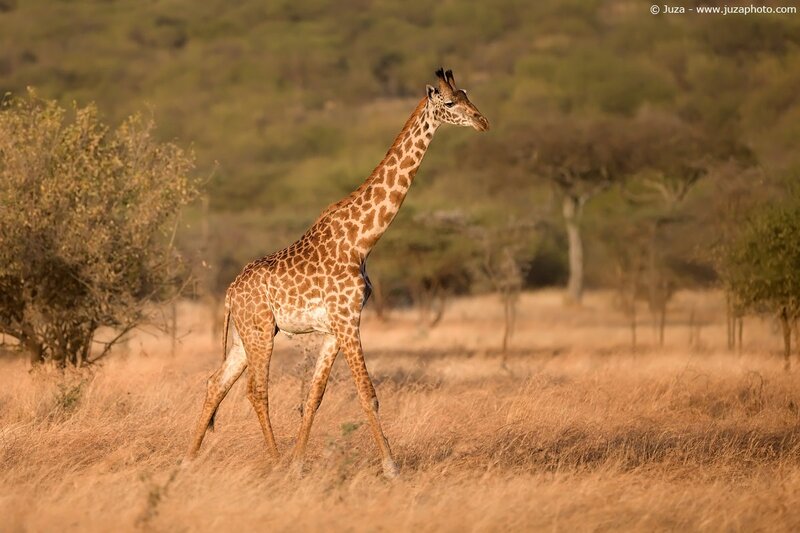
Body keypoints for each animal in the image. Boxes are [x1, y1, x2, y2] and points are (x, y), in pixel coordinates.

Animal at [185, 68, 489, 478]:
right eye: (451, 103)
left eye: (468, 95)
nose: (483, 122)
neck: (363, 240)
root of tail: (230, 293)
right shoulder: (348, 320)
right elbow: (368, 394)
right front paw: (391, 468)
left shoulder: (334, 328)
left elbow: (314, 396)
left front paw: (299, 464)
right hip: (261, 331)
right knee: (256, 390)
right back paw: (273, 461)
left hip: (243, 335)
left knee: (215, 383)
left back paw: (188, 459)